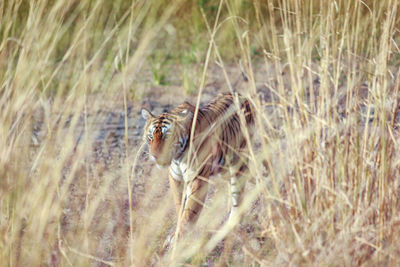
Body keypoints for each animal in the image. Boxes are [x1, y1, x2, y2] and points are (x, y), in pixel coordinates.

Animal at [141, 92, 253, 234]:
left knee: (238, 194)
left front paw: (180, 237)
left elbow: (189, 212)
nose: (154, 156)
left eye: (167, 137)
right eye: (150, 137)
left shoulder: (197, 179)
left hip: (238, 163)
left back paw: (232, 224)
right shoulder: (176, 178)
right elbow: (180, 206)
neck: (177, 157)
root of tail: (240, 94)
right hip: (224, 168)